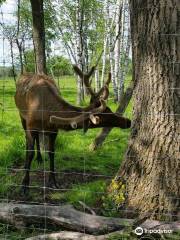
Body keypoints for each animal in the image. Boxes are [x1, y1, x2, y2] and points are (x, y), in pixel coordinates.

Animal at [14, 65, 131, 195]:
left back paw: (39, 158)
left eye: (110, 110)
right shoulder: (31, 126)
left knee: (39, 139)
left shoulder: (54, 130)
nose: (128, 121)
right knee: (28, 137)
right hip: (21, 115)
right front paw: (24, 185)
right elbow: (29, 153)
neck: (46, 113)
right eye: (106, 115)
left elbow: (51, 153)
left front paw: (53, 181)